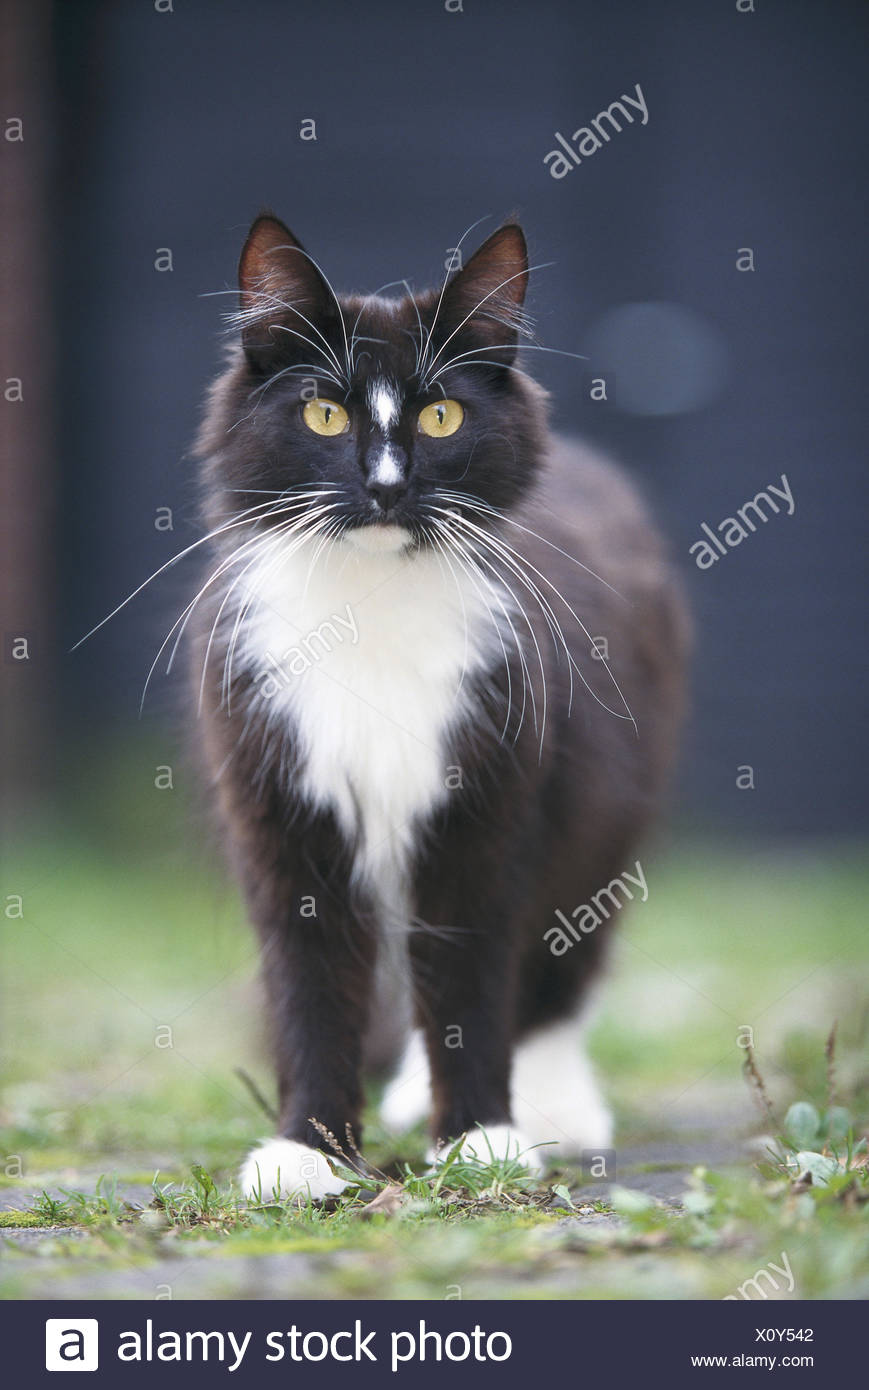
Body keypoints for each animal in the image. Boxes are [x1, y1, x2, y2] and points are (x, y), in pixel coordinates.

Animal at [191, 211, 684, 1200]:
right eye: (325, 412)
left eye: (441, 415)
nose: (386, 487)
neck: (371, 605)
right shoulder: (277, 802)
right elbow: (310, 985)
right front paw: (306, 1153)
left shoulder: (490, 804)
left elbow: (470, 978)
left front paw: (479, 1139)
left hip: (607, 806)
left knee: (556, 971)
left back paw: (552, 1106)